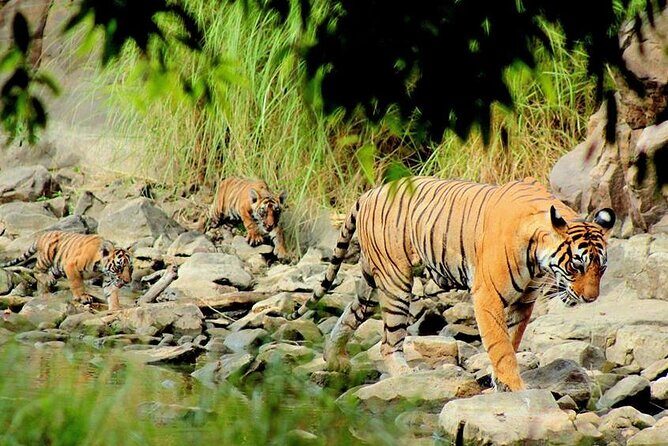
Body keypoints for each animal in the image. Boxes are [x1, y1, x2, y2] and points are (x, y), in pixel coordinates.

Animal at [0, 231, 133, 311]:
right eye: (119, 268)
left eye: (130, 269)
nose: (127, 281)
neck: (100, 268)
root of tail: (42, 235)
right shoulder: (71, 265)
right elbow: (77, 283)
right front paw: (82, 297)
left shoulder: (108, 277)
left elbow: (112, 293)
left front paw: (115, 308)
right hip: (47, 256)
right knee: (36, 269)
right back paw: (47, 281)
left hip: (57, 268)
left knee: (47, 273)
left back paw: (46, 288)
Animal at [288, 176, 615, 391]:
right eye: (575, 266)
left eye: (601, 269)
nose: (591, 299)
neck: (537, 256)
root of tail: (370, 192)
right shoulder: (487, 296)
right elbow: (500, 346)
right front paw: (515, 389)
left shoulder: (524, 302)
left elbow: (511, 340)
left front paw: (501, 383)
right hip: (396, 282)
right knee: (388, 342)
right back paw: (403, 375)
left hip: (372, 277)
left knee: (350, 314)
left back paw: (334, 359)